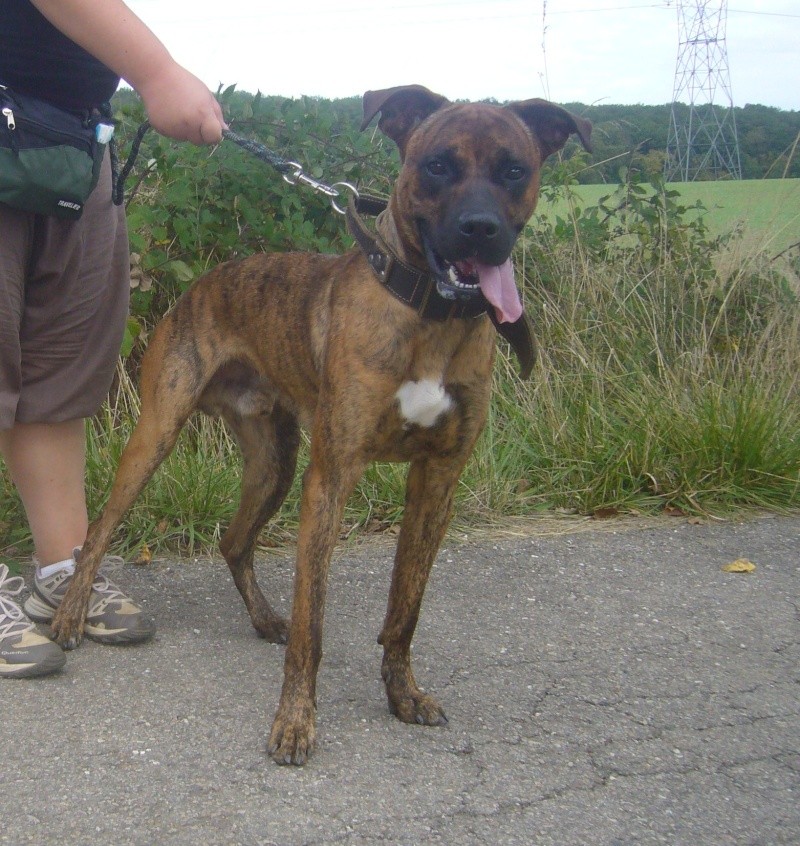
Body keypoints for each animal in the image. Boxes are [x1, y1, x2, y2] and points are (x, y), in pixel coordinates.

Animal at [48, 86, 588, 768]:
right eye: (438, 164)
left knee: (234, 542)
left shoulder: (437, 479)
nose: (480, 229)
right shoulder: (331, 477)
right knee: (97, 533)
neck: (427, 313)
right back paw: (70, 617)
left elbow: (405, 607)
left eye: (515, 169)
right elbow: (314, 622)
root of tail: (198, 287)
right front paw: (295, 723)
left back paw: (262, 619)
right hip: (157, 437)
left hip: (273, 462)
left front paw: (402, 694)